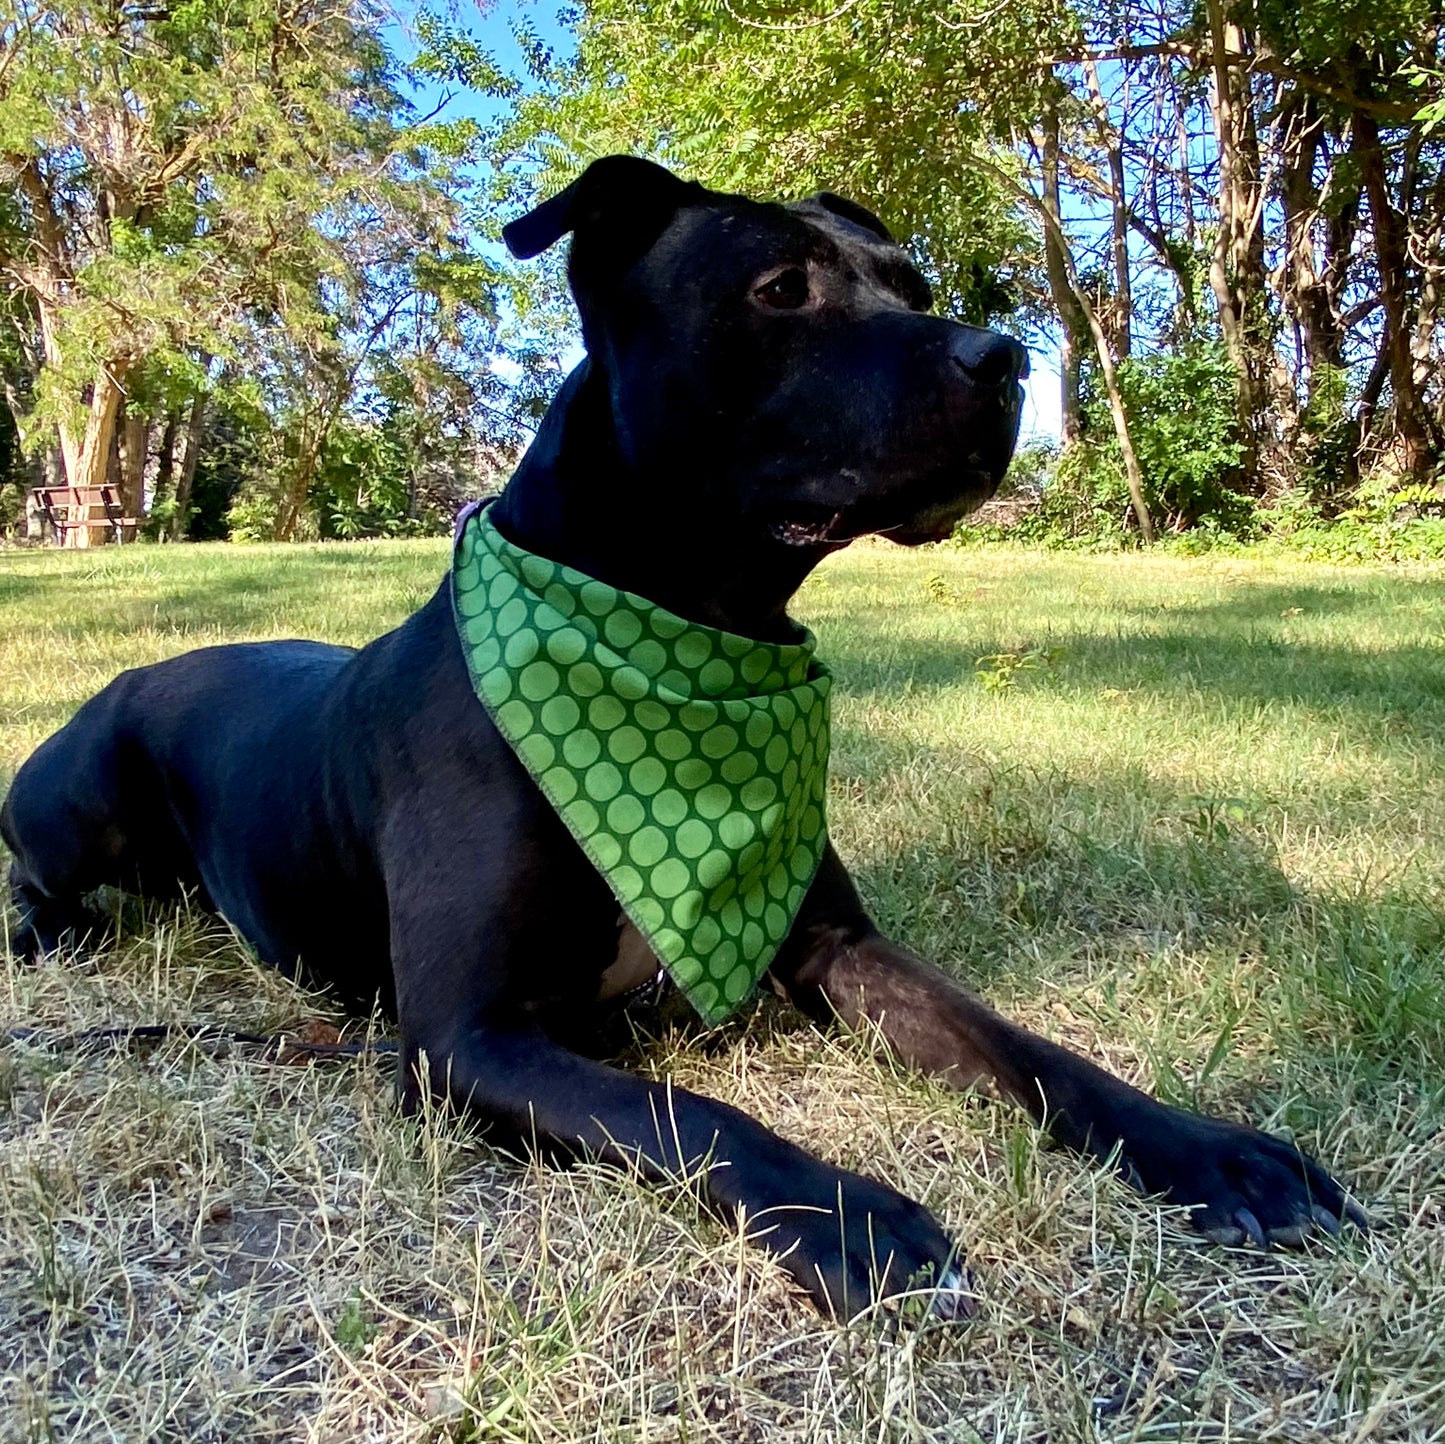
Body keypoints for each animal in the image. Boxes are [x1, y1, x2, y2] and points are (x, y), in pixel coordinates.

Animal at [0, 158, 1358, 1324]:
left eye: (910, 287)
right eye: (778, 289)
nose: (1007, 354)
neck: (689, 633)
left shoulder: (839, 948)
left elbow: (1029, 1049)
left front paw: (1214, 1152)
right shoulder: (466, 1037)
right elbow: (689, 1114)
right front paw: (852, 1214)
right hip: (79, 801)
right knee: (38, 875)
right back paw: (51, 933)